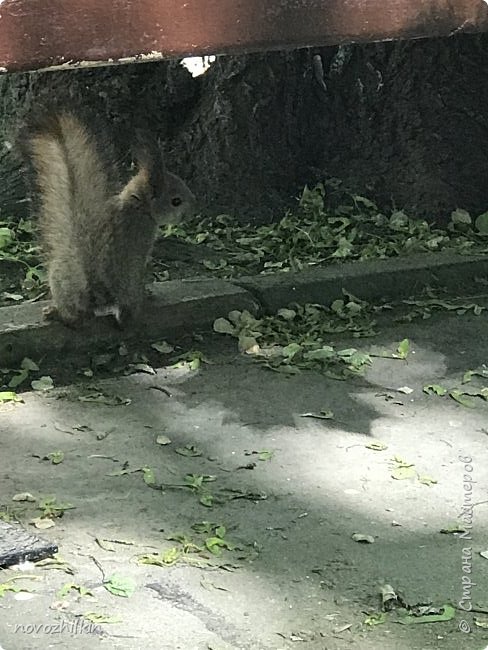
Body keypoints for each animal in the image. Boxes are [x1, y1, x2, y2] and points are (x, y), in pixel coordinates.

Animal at [19, 110, 194, 330]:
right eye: (176, 201)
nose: (191, 211)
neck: (137, 207)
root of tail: (96, 295)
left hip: (59, 275)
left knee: (77, 317)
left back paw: (57, 313)